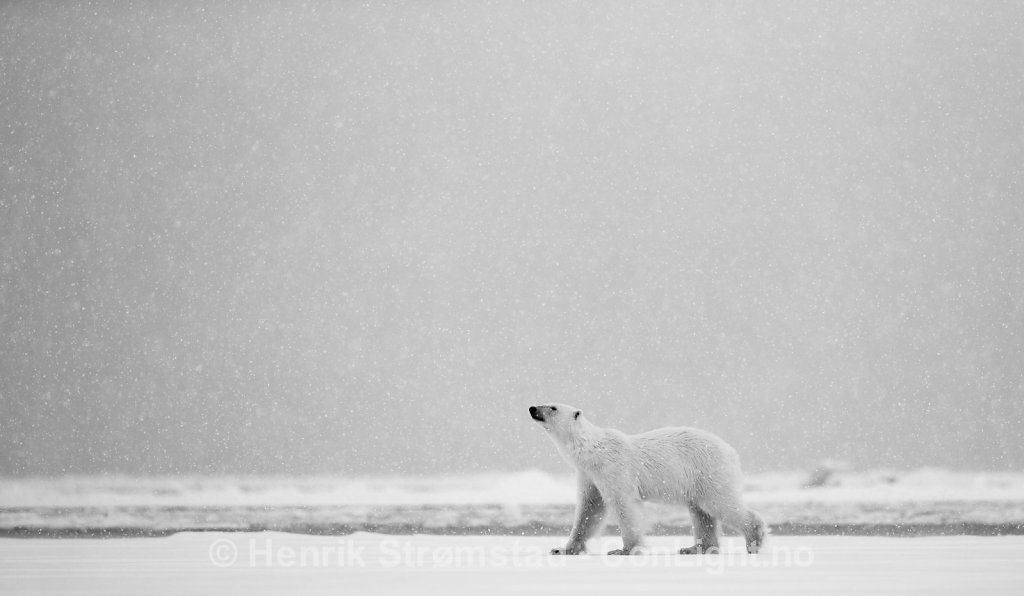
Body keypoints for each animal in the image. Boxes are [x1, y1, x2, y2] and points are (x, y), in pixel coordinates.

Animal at [532, 403, 765, 557]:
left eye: (552, 407)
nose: (532, 408)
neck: (592, 452)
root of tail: (731, 451)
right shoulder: (589, 475)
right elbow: (590, 509)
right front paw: (562, 548)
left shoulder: (614, 469)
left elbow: (624, 506)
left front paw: (624, 550)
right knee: (701, 512)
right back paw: (694, 548)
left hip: (708, 471)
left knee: (719, 504)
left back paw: (753, 541)